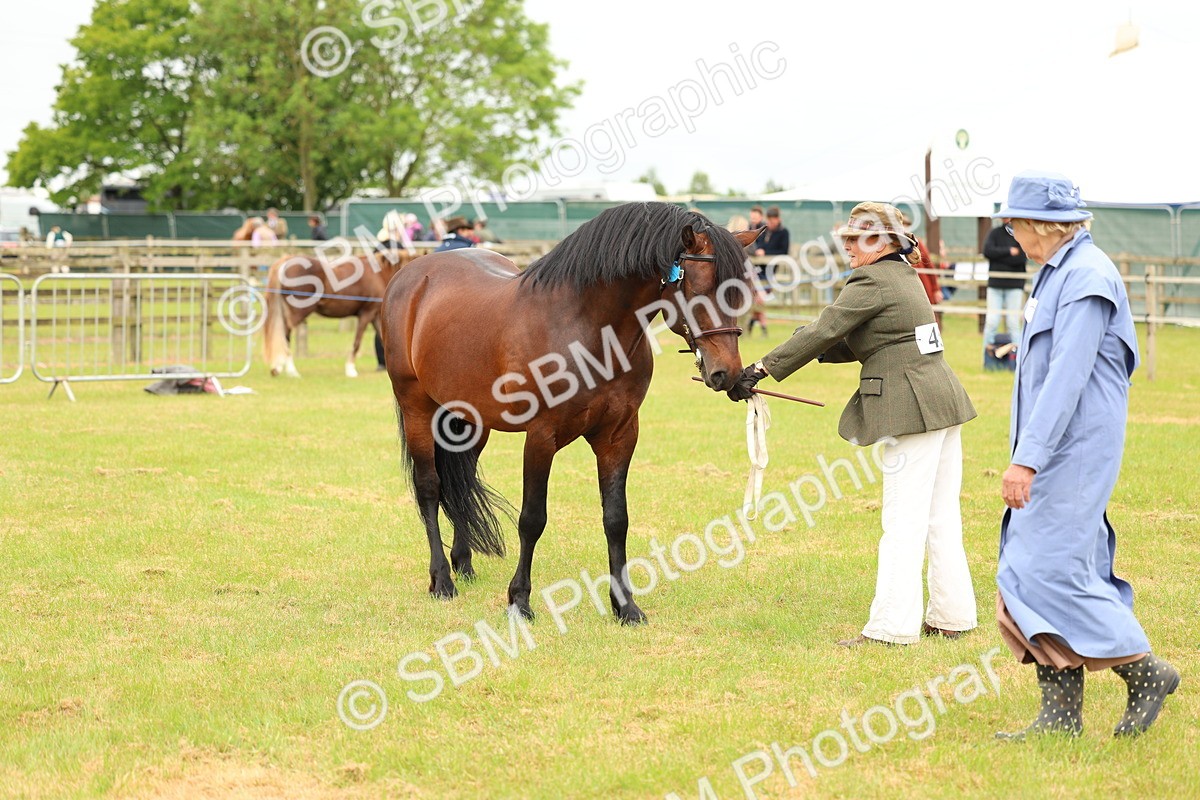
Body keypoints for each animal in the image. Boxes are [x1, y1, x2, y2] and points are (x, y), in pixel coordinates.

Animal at [262, 250, 414, 377]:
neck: (378, 274)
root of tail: (286, 261)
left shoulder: (375, 315)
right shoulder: (366, 314)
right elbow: (357, 342)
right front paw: (351, 369)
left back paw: (278, 368)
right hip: (297, 313)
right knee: (285, 336)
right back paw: (291, 370)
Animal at [381, 202, 759, 623]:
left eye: (740, 294)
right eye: (699, 290)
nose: (727, 373)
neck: (588, 330)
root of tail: (413, 274)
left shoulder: (619, 435)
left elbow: (616, 519)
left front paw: (626, 606)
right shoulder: (541, 436)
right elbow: (532, 519)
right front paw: (519, 601)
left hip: (472, 422)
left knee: (460, 482)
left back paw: (463, 564)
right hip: (416, 406)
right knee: (430, 488)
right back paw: (442, 581)